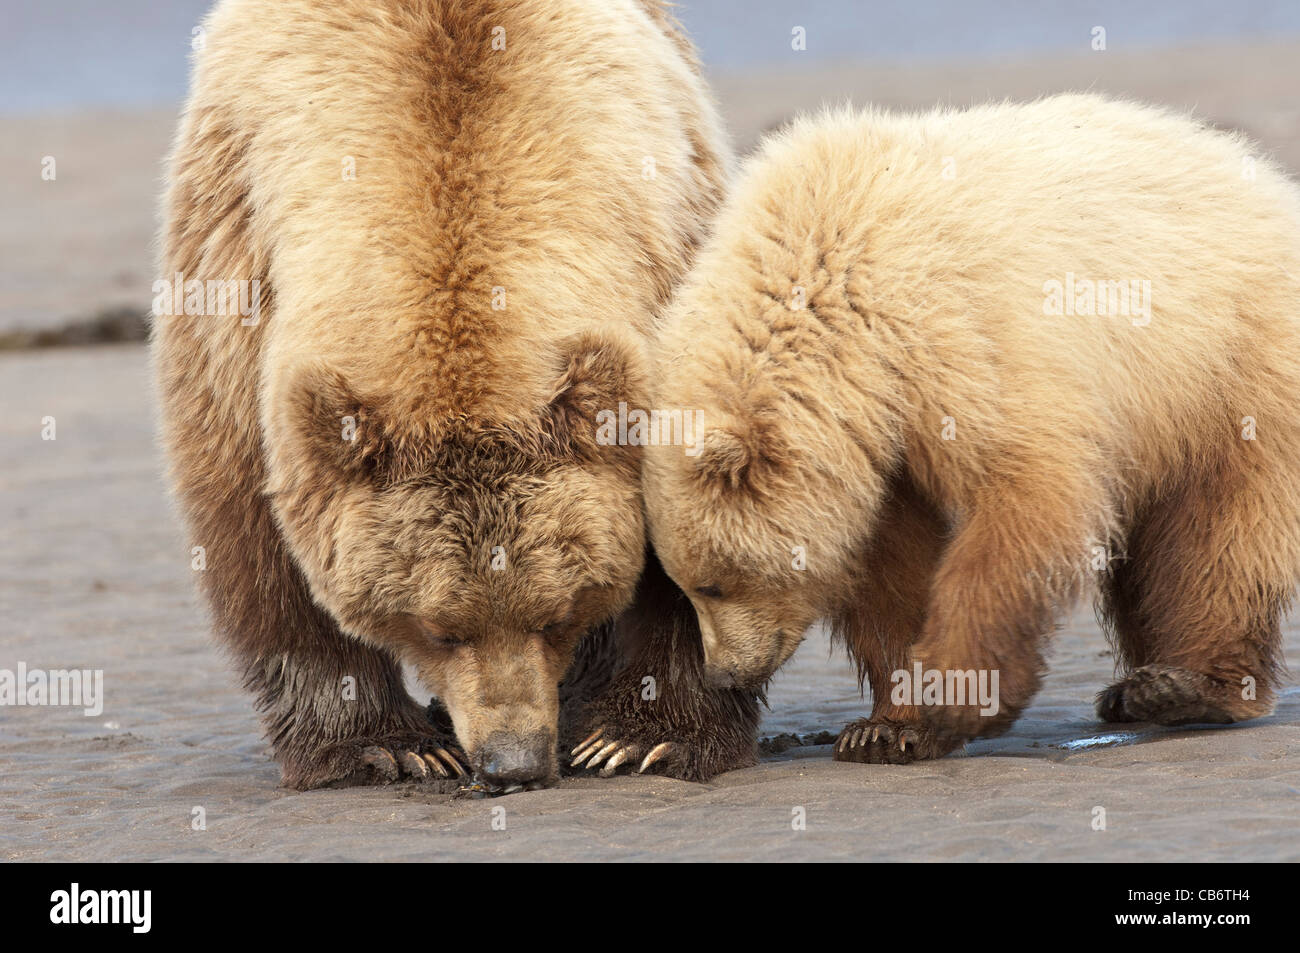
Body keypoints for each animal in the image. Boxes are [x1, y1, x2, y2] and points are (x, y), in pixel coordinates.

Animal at [153, 0, 760, 791]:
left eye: (554, 613)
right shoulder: (236, 282)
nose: (514, 760)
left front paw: (643, 736)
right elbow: (256, 534)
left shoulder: (667, 244)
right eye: (438, 627)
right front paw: (383, 745)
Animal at [636, 94, 1300, 765]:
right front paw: (886, 725)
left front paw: (950, 700)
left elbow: (1023, 499)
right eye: (684, 585)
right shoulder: (880, 441)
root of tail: (1267, 179)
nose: (725, 672)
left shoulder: (958, 337)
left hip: (1227, 363)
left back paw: (1190, 685)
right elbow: (892, 566)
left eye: (714, 584)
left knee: (1216, 536)